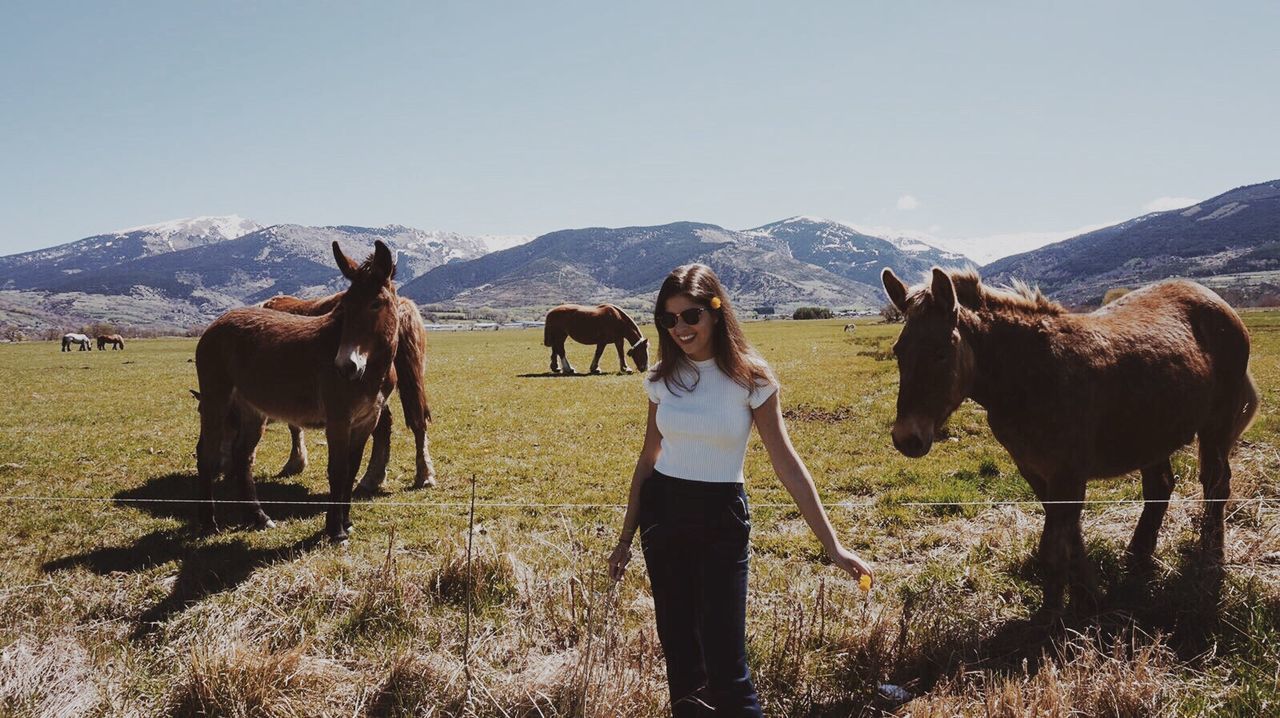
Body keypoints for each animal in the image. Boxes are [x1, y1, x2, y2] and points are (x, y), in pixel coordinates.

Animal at [194, 238, 399, 540]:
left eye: (376, 303)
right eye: (345, 306)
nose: (345, 366)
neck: (372, 372)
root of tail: (217, 323)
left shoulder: (366, 420)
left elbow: (351, 470)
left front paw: (346, 522)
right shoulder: (338, 421)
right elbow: (338, 472)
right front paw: (335, 531)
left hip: (252, 410)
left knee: (242, 456)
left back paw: (258, 517)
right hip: (216, 401)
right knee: (206, 454)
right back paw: (209, 523)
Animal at [261, 287, 440, 488]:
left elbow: (294, 426)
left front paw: (294, 463)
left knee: (384, 426)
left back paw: (372, 478)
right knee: (416, 422)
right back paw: (420, 476)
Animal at [880, 268, 1259, 616]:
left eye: (941, 353)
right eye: (898, 351)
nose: (906, 439)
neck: (1029, 376)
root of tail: (1212, 297)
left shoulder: (1068, 472)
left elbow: (1053, 548)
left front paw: (1050, 626)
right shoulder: (1035, 470)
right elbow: (1068, 538)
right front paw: (1088, 598)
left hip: (1215, 426)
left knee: (1216, 483)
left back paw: (1211, 556)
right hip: (1153, 434)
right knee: (1160, 487)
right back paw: (1137, 558)